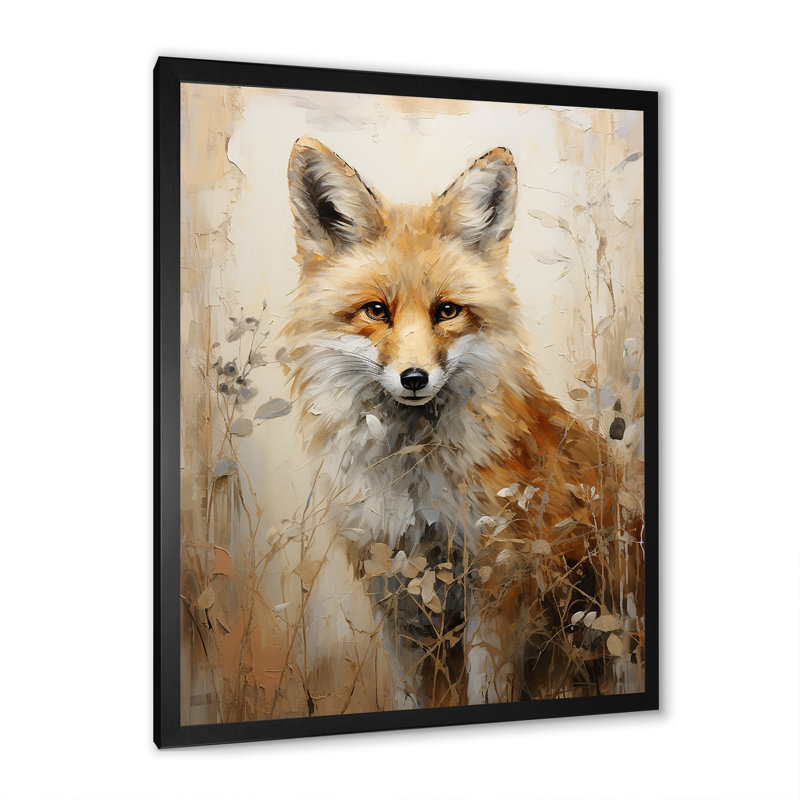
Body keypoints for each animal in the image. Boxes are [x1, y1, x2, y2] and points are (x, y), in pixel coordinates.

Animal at [283, 137, 631, 708]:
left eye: (447, 311)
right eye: (375, 310)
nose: (414, 378)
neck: (413, 482)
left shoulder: (497, 583)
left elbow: (486, 690)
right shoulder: (394, 592)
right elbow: (407, 696)